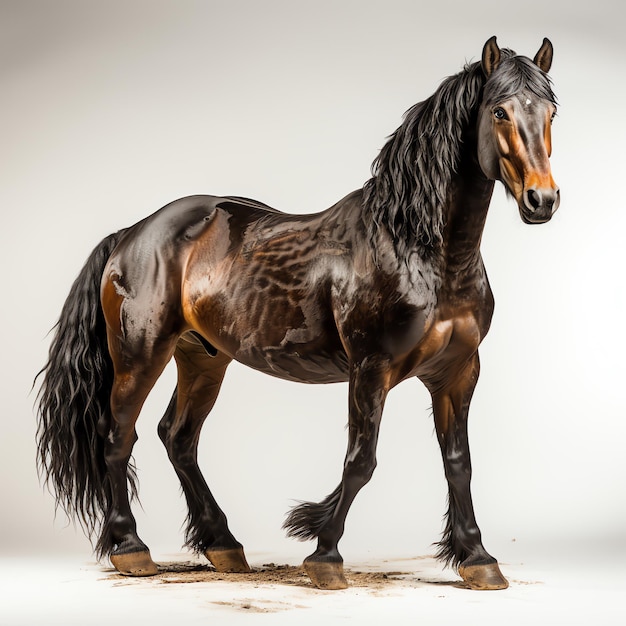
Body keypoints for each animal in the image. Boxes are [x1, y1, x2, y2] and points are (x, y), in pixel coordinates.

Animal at [36, 34, 560, 588]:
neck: (421, 251)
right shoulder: (371, 369)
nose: (542, 199)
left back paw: (223, 544)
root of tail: (133, 233)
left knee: (177, 438)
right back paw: (131, 548)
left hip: (203, 358)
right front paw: (325, 554)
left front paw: (478, 557)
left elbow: (458, 463)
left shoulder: (458, 372)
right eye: (499, 111)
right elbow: (361, 461)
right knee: (118, 435)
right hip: (140, 355)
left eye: (551, 111)